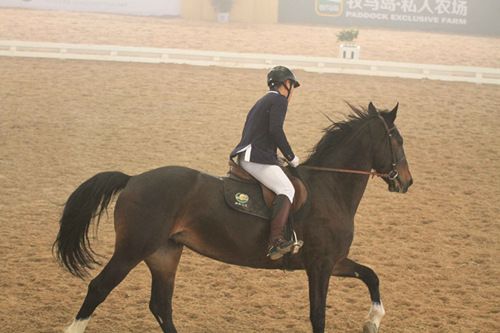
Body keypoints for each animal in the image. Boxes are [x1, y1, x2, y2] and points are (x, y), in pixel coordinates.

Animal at [53, 102, 414, 330]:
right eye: (397, 140)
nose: (407, 182)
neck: (331, 187)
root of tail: (133, 179)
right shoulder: (321, 266)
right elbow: (318, 316)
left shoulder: (334, 262)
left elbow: (371, 276)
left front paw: (373, 320)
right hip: (133, 249)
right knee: (99, 289)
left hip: (164, 254)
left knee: (161, 306)